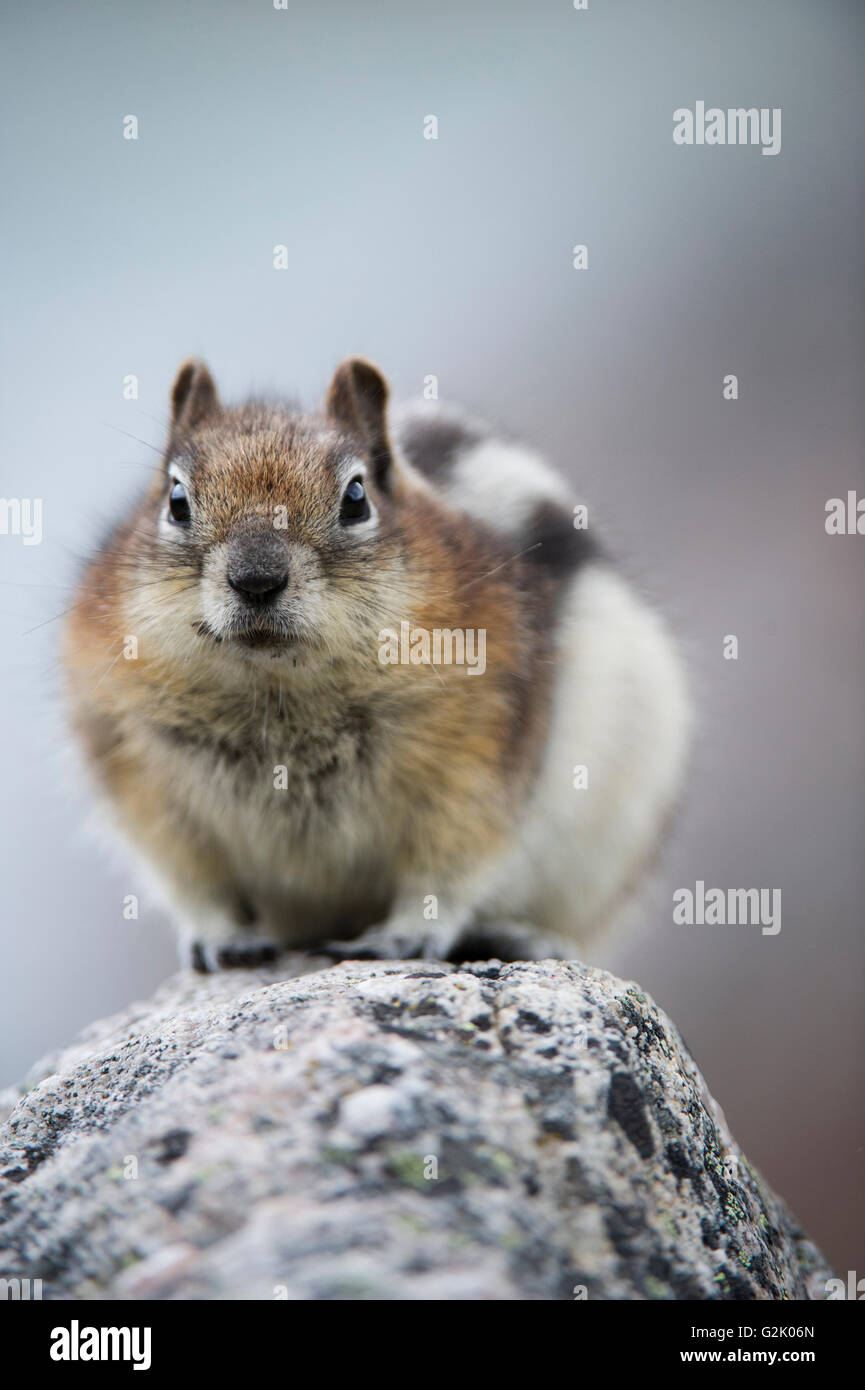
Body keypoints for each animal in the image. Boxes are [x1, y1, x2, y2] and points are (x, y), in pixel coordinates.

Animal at [62, 355, 692, 967]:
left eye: (356, 498)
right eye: (176, 501)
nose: (257, 579)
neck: (279, 693)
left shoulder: (477, 768)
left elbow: (447, 874)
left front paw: (404, 936)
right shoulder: (146, 790)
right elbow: (197, 887)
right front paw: (222, 938)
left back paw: (522, 936)